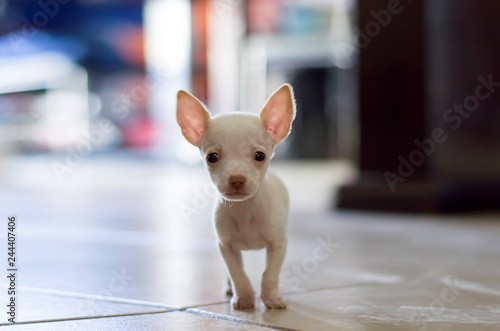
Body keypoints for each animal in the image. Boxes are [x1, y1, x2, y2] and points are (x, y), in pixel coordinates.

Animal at [176, 84, 294, 310]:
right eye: (212, 157)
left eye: (259, 156)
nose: (237, 179)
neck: (245, 209)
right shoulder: (226, 247)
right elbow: (236, 272)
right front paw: (244, 297)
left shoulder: (278, 244)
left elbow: (270, 273)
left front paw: (271, 297)